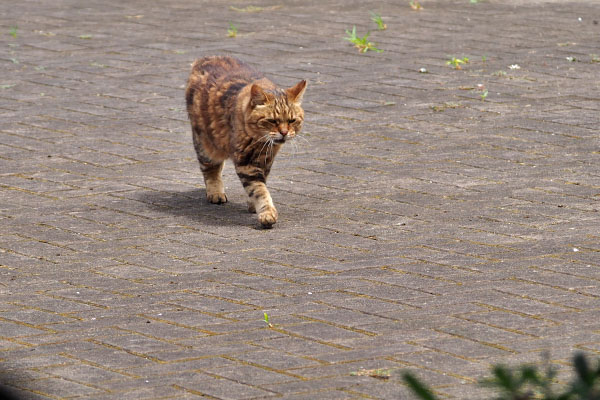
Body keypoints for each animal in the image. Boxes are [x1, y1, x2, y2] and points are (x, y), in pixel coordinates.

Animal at [185, 55, 308, 228]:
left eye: (292, 120)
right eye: (272, 121)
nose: (284, 133)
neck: (260, 142)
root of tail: (207, 57)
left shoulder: (265, 161)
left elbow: (260, 185)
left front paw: (252, 205)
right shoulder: (247, 164)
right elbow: (260, 190)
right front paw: (267, 213)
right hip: (206, 145)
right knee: (210, 169)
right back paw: (215, 192)